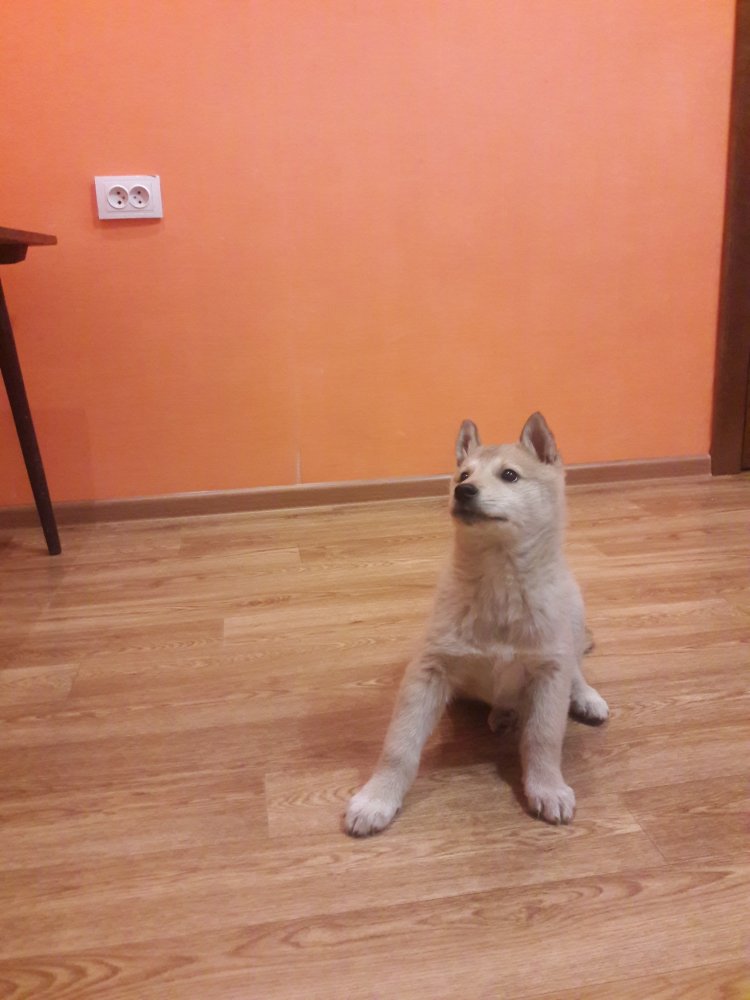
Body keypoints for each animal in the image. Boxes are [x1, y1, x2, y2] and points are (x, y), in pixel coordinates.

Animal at [345, 412, 608, 836]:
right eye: (463, 474)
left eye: (510, 475)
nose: (463, 491)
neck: (499, 581)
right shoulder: (428, 670)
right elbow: (399, 745)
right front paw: (376, 799)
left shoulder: (550, 670)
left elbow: (543, 738)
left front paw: (547, 787)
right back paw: (504, 713)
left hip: (574, 612)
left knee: (576, 668)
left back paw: (584, 696)